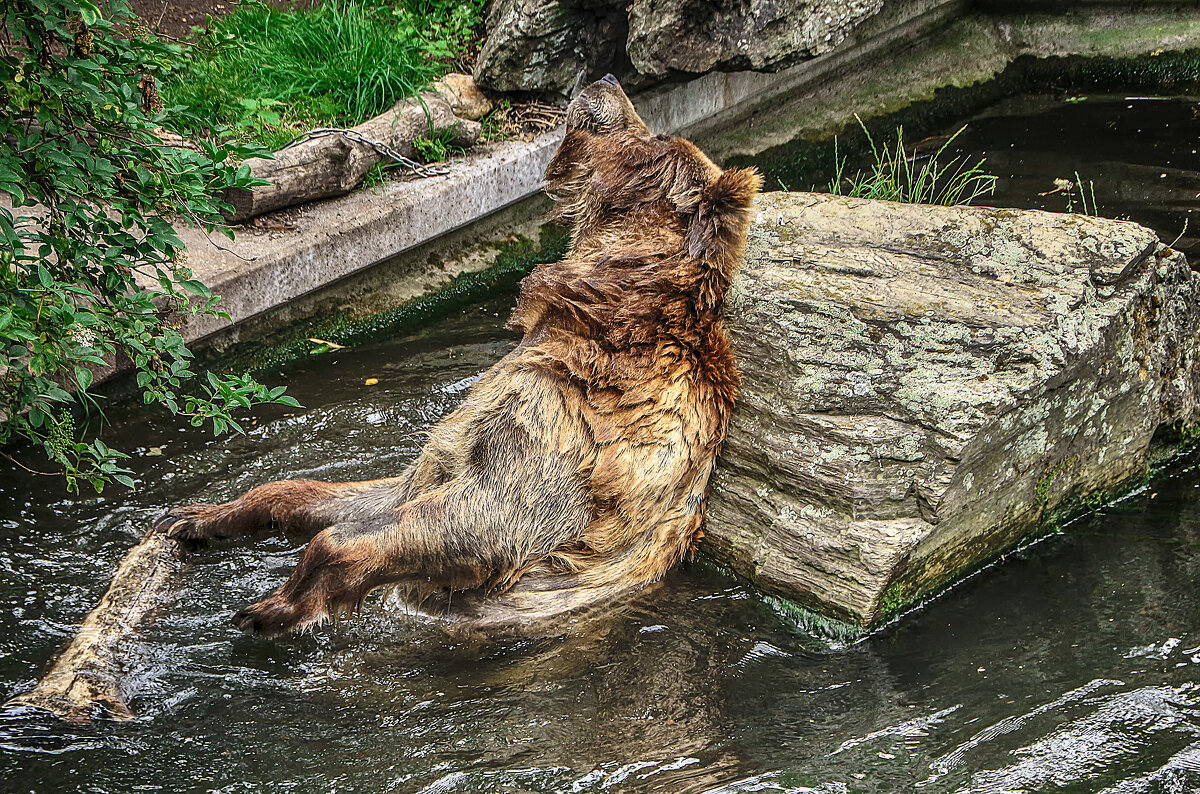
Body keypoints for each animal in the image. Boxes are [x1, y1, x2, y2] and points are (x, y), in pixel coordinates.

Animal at [157, 77, 758, 642]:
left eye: (652, 135)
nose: (605, 79)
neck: (606, 306)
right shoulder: (468, 436)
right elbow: (361, 493)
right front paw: (197, 516)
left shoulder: (572, 423)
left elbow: (485, 518)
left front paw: (270, 607)